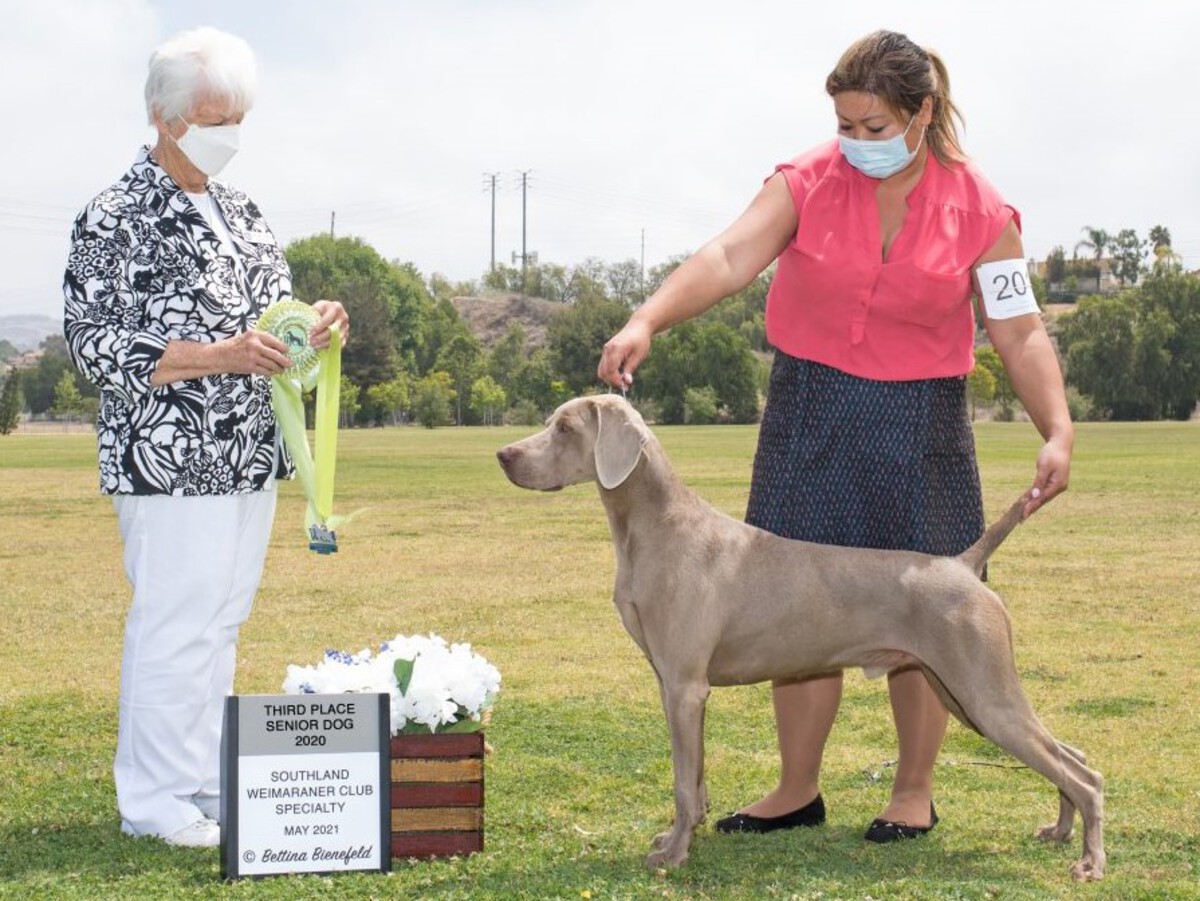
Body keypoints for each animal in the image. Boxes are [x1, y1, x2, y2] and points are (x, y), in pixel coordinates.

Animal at [496, 393, 1104, 883]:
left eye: (565, 428)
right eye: (550, 423)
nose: (504, 455)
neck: (657, 528)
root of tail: (962, 562)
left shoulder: (685, 685)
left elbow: (682, 782)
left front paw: (672, 855)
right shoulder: (677, 686)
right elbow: (696, 775)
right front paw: (681, 835)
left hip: (981, 690)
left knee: (1084, 774)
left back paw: (1090, 862)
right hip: (959, 691)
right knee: (1070, 756)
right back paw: (1059, 831)